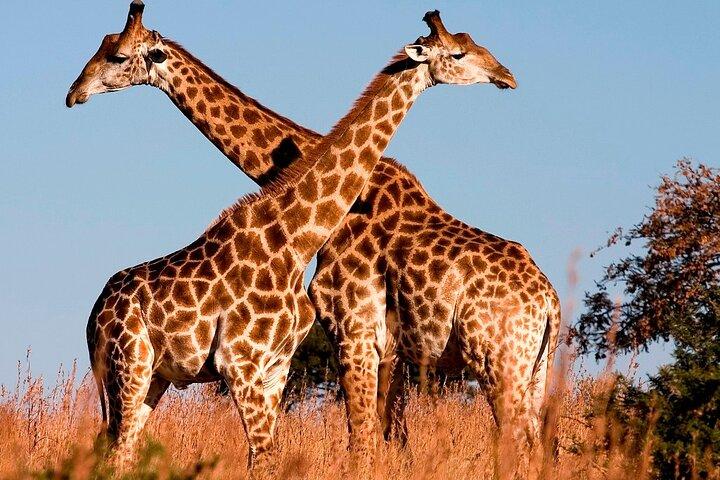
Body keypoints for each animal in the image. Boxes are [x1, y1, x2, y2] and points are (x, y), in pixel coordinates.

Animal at [70, 4, 517, 468]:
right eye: (460, 52)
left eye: (117, 56)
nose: (73, 92)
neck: (291, 235)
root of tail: (95, 312)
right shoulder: (263, 357)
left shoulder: (294, 357)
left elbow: (310, 449)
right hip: (132, 368)